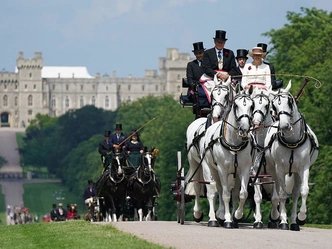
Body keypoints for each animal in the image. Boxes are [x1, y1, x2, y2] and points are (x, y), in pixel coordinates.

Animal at [184, 80, 233, 224]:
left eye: (226, 95)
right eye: (212, 95)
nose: (217, 116)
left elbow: (225, 188)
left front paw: (222, 214)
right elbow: (213, 188)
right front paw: (215, 216)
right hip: (194, 162)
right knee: (196, 185)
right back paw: (197, 212)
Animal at [200, 85, 254, 228]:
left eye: (252, 105)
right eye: (236, 105)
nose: (244, 129)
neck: (234, 143)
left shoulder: (244, 170)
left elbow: (242, 194)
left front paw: (237, 216)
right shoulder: (222, 170)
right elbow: (225, 195)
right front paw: (228, 219)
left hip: (234, 175)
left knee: (231, 192)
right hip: (210, 169)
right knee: (213, 192)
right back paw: (213, 218)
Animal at [264, 80, 318, 231]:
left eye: (289, 101)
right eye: (274, 105)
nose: (284, 126)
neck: (292, 141)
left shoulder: (304, 168)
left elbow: (303, 191)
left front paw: (301, 217)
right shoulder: (280, 169)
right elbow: (282, 194)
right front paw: (282, 221)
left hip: (295, 172)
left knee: (294, 194)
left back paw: (293, 222)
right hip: (273, 170)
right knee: (277, 193)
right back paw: (277, 216)